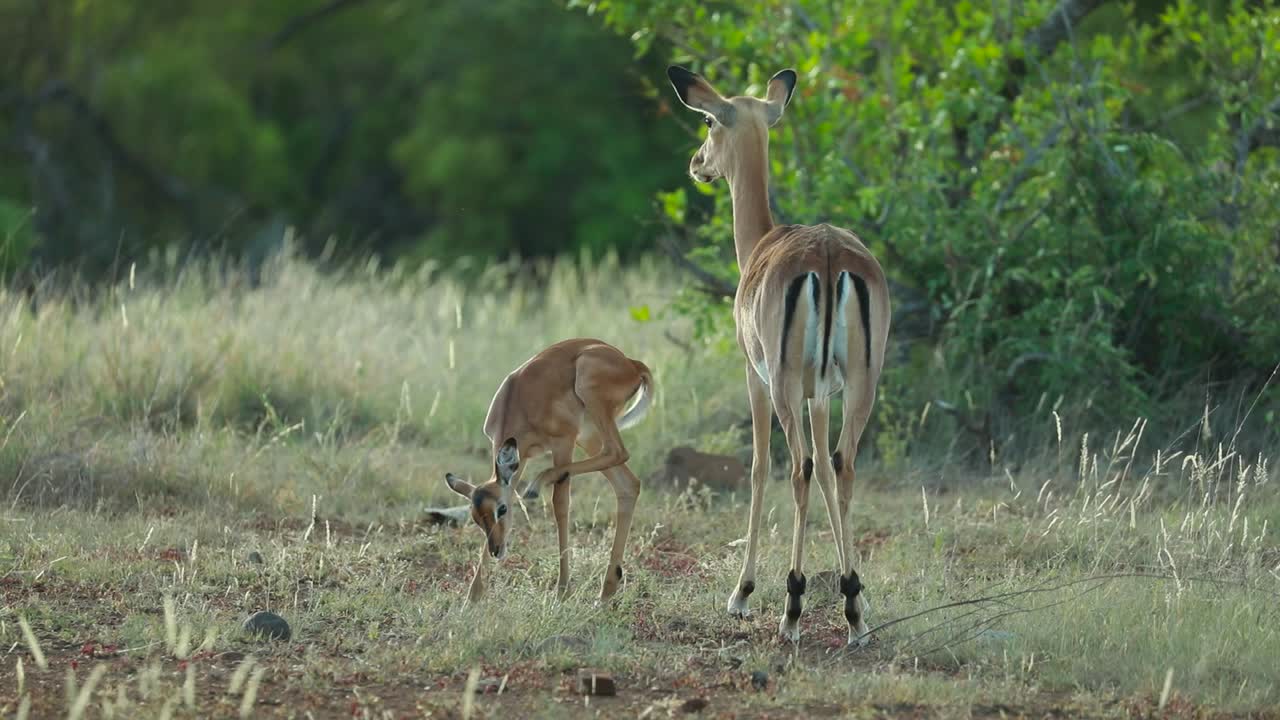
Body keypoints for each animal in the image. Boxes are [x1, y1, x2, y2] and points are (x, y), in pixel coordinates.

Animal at [444, 338, 654, 603]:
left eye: (501, 510)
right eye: (475, 516)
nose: (496, 549)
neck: (520, 401)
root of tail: (631, 364)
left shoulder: (562, 443)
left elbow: (560, 506)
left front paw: (562, 591)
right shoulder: (519, 459)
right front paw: (472, 598)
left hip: (587, 422)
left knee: (617, 452)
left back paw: (536, 485)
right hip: (588, 435)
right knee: (628, 484)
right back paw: (606, 594)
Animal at [666, 65, 891, 645]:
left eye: (708, 120)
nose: (696, 163)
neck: (761, 243)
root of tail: (829, 256)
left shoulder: (757, 376)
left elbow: (759, 466)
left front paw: (741, 594)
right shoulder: (822, 393)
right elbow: (832, 474)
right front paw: (854, 594)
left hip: (786, 385)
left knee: (800, 466)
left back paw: (791, 607)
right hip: (862, 383)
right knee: (841, 462)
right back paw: (854, 613)